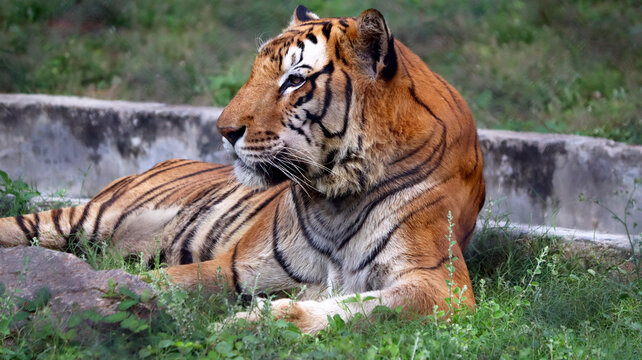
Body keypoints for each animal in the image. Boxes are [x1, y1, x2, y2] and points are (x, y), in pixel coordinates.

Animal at [0, 5, 480, 334]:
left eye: (294, 79)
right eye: (255, 72)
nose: (224, 130)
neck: (334, 195)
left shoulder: (440, 284)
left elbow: (362, 309)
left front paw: (247, 323)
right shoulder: (235, 266)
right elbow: (157, 283)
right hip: (91, 217)